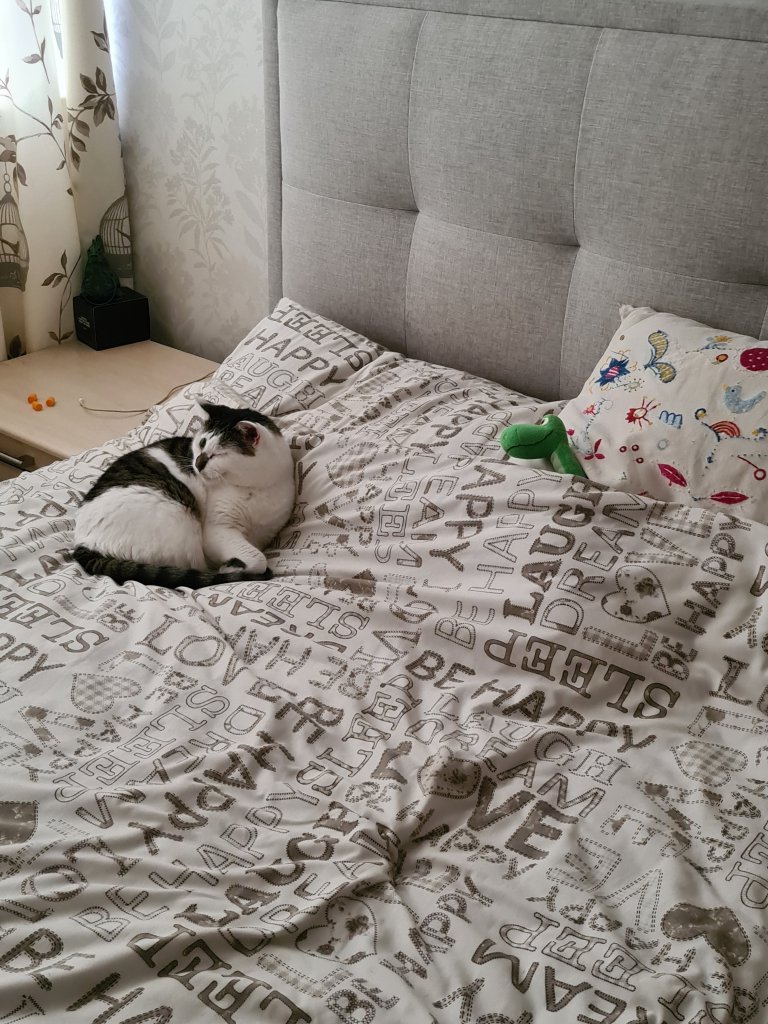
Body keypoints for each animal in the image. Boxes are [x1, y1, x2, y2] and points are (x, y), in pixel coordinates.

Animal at [72, 402, 295, 589]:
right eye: (202, 443)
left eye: (219, 454)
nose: (197, 463)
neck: (255, 488)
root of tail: (84, 544)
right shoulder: (217, 529)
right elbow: (258, 558)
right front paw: (231, 567)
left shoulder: (266, 532)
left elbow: (257, 552)